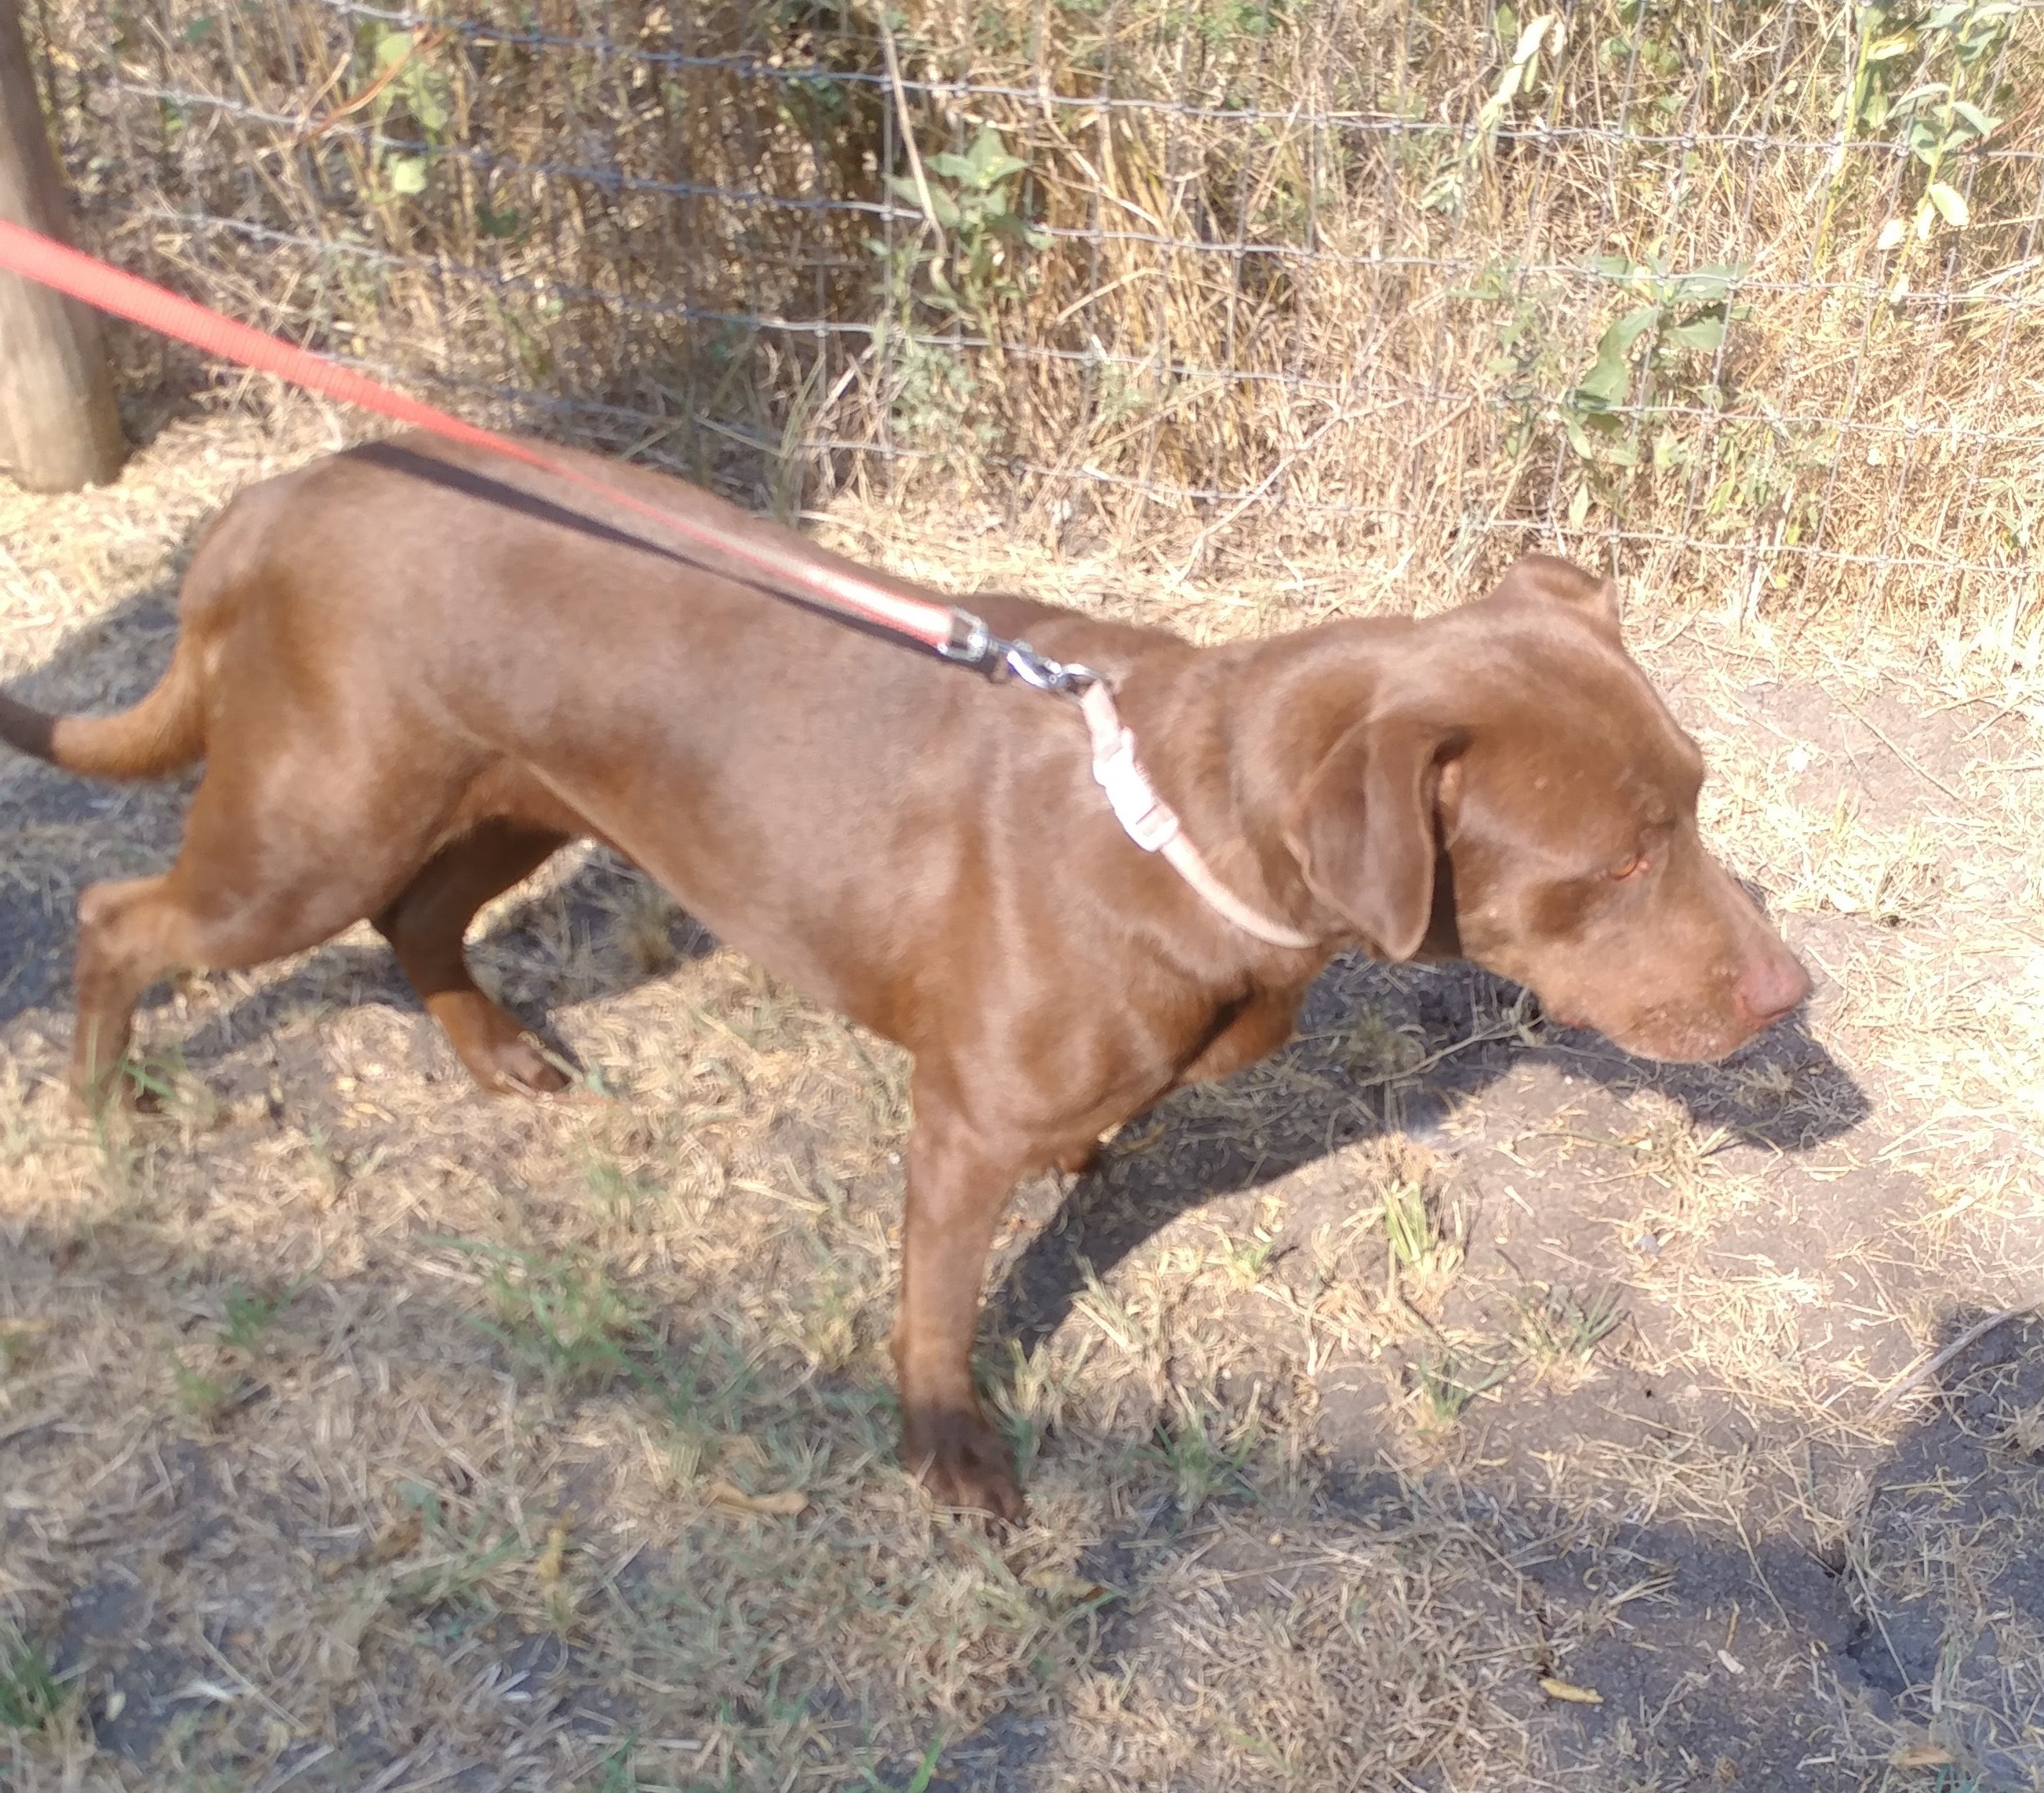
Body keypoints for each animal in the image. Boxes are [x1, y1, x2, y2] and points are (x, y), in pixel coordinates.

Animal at [0, 433, 1806, 1512]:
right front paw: (949, 1454)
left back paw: (494, 1054)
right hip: (314, 825)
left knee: (416, 923)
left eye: (1701, 796)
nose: (1791, 996)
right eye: (1619, 862)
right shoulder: (960, 1129)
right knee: (123, 916)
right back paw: (102, 1109)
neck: (1188, 833)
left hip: (503, 797)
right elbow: (938, 1305)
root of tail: (274, 496)